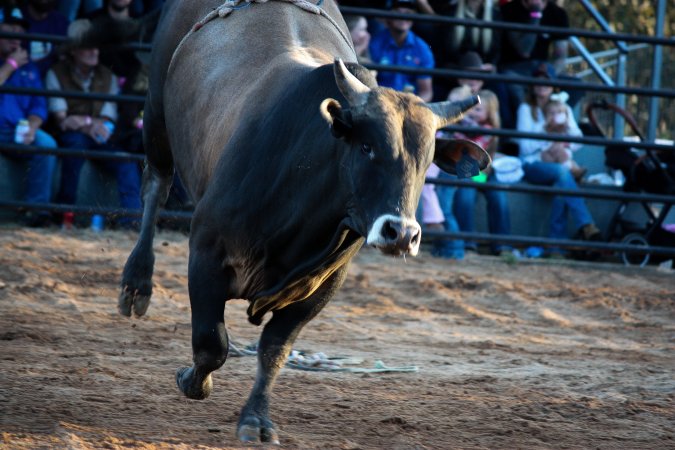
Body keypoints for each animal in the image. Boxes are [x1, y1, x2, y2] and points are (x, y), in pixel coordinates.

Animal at [118, 0, 489, 444]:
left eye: (427, 159)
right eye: (367, 147)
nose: (401, 233)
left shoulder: (320, 288)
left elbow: (273, 350)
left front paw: (255, 419)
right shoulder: (205, 252)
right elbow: (212, 342)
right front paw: (192, 380)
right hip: (156, 112)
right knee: (156, 185)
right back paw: (136, 282)